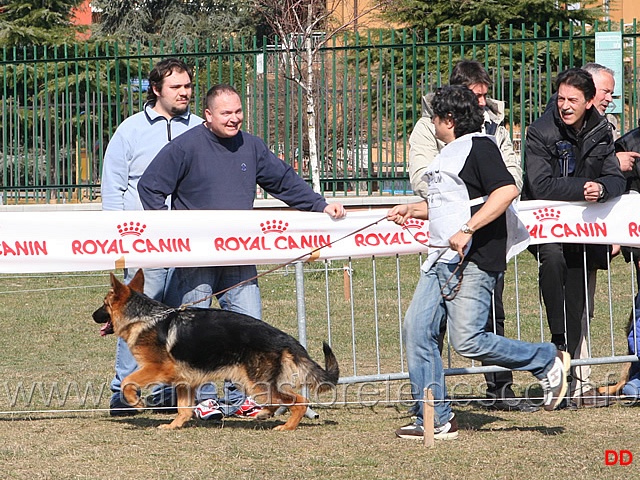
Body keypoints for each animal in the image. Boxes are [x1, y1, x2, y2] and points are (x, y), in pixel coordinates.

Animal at [93, 270, 340, 432]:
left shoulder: (157, 369)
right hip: (255, 384)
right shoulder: (184, 381)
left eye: (104, 304)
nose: (93, 316)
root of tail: (285, 338)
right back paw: (264, 413)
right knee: (281, 400)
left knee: (299, 400)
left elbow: (127, 382)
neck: (144, 317)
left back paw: (287, 426)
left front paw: (136, 402)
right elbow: (183, 409)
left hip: (257, 384)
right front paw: (174, 425)